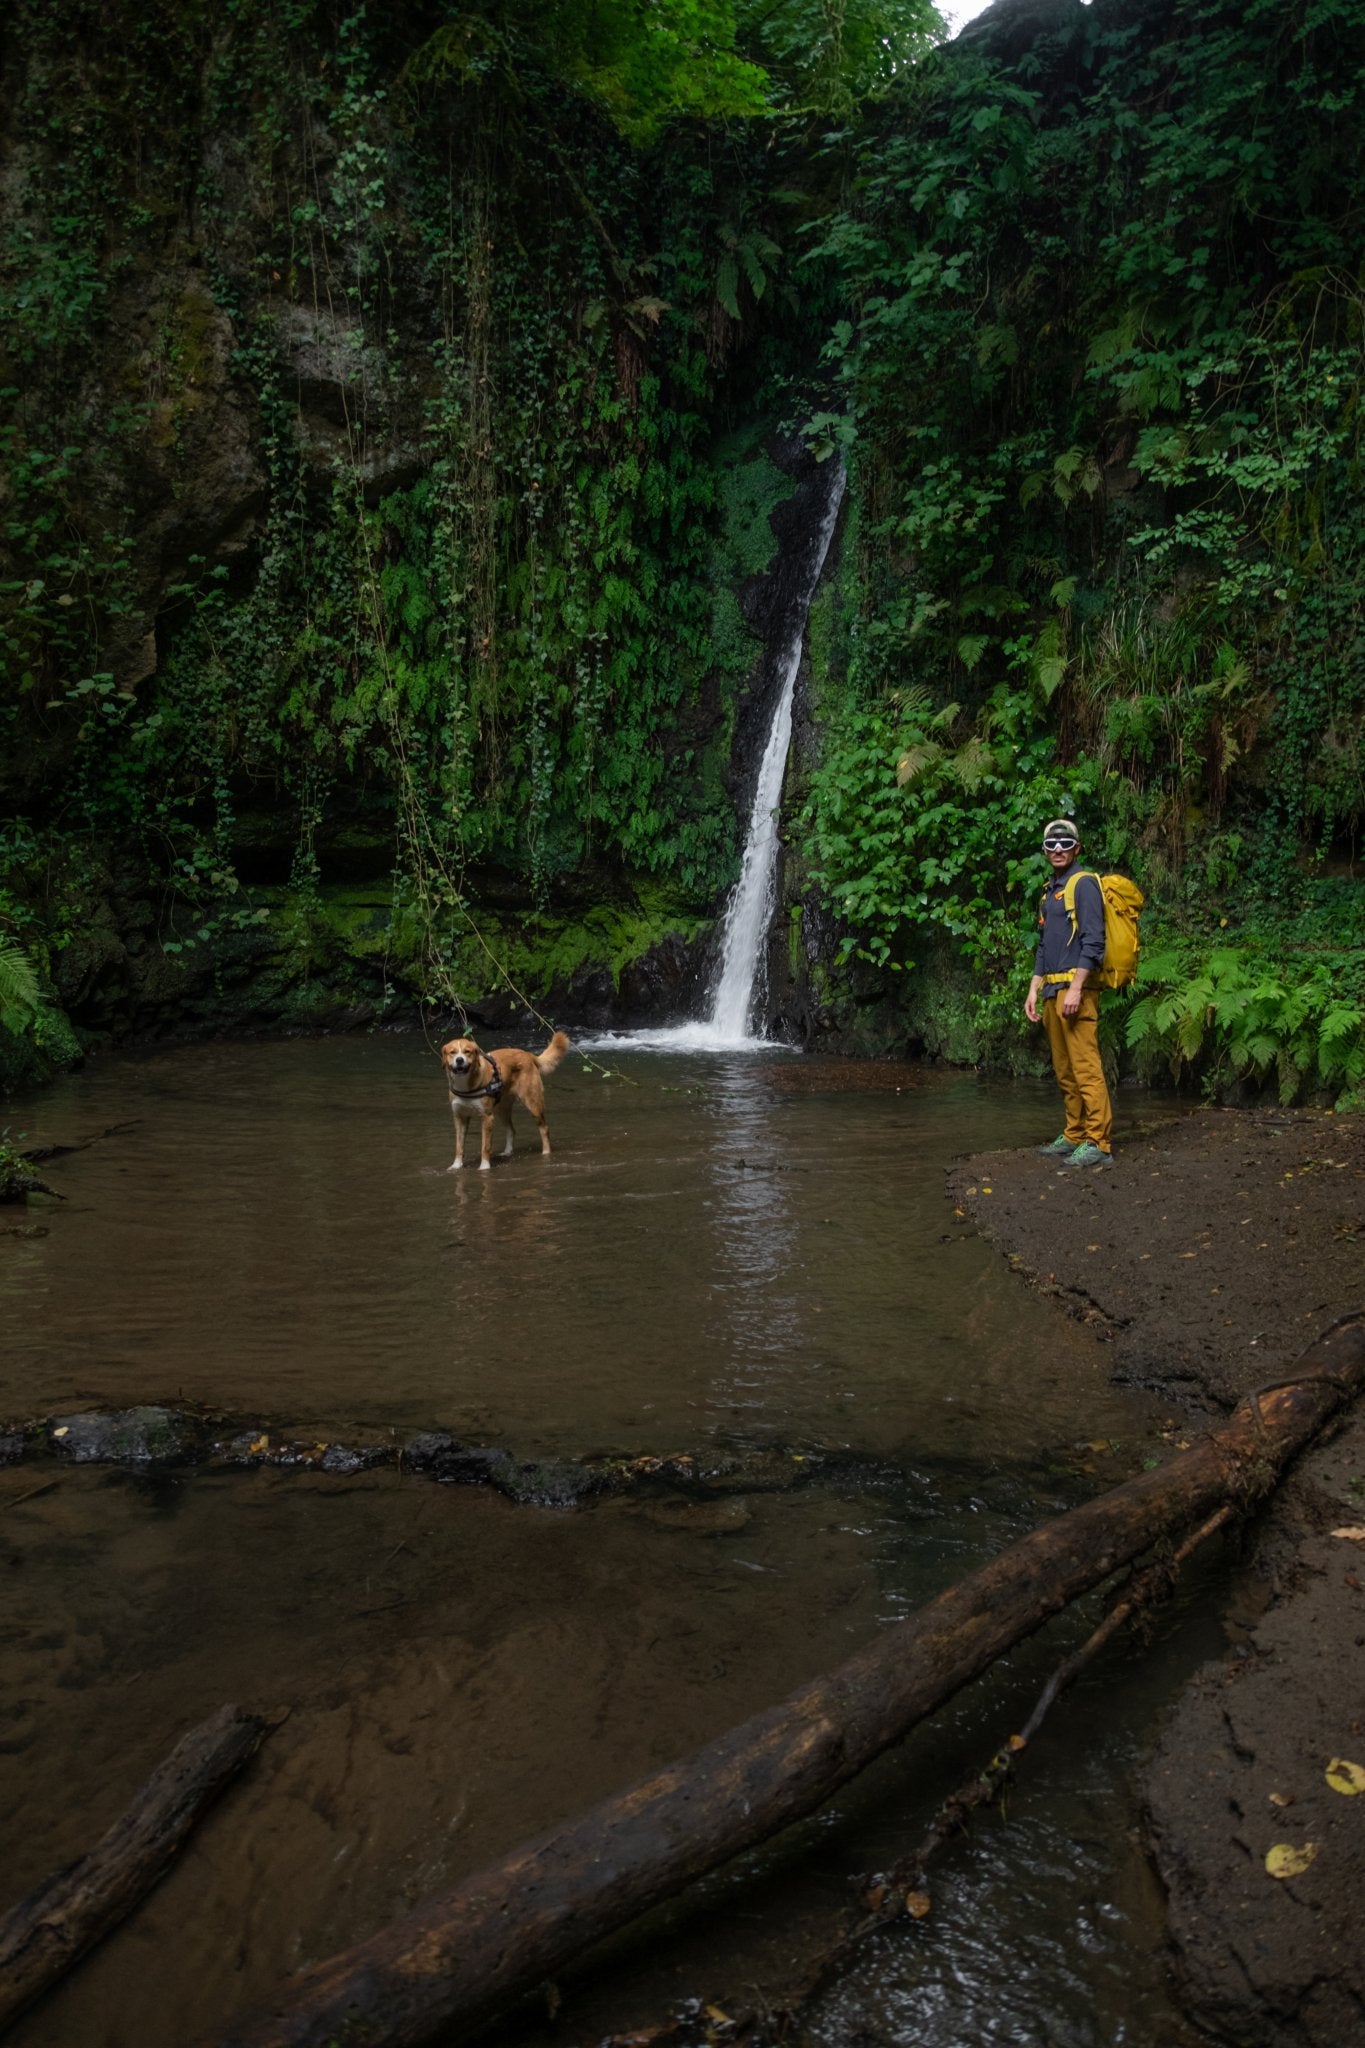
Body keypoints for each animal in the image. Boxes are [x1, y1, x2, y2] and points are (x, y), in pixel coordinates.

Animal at [437, 1024, 564, 1171]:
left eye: (467, 1052)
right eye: (452, 1052)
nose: (459, 1060)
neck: (466, 1086)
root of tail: (528, 1054)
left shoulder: (487, 1117)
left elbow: (485, 1146)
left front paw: (484, 1167)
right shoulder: (460, 1118)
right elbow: (459, 1146)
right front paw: (456, 1166)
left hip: (533, 1104)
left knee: (544, 1129)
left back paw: (546, 1152)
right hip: (501, 1109)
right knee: (511, 1130)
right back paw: (507, 1152)